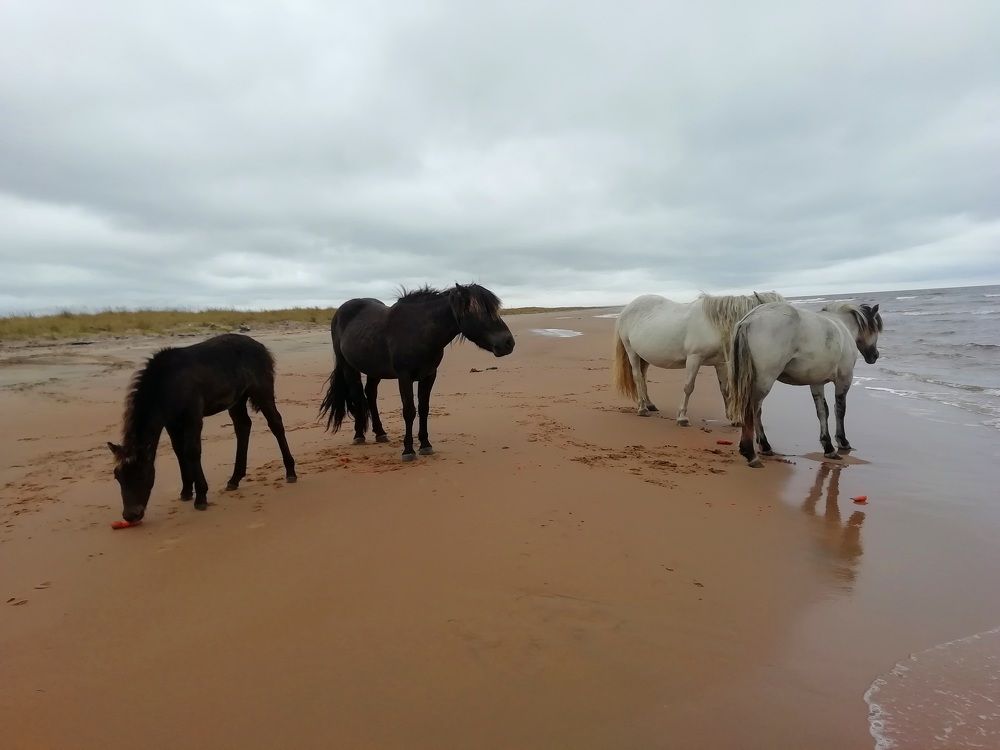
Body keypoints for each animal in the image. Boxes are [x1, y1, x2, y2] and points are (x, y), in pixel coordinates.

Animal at [107, 334, 297, 522]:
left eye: (141, 474)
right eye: (117, 476)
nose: (130, 515)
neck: (168, 383)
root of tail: (261, 347)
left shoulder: (193, 418)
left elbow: (192, 451)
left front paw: (201, 497)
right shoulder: (172, 423)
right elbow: (179, 451)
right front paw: (186, 491)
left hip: (262, 392)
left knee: (275, 424)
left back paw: (290, 472)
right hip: (237, 400)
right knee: (243, 426)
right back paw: (234, 479)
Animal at [319, 283, 515, 461]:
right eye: (478, 312)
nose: (508, 343)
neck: (419, 331)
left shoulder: (429, 375)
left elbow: (423, 409)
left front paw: (425, 445)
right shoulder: (404, 377)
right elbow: (409, 411)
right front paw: (408, 450)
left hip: (374, 369)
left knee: (370, 394)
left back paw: (380, 433)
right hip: (348, 366)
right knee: (357, 396)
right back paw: (359, 434)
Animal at [613, 291, 784, 425]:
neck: (714, 325)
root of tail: (626, 309)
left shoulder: (720, 363)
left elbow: (725, 388)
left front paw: (733, 418)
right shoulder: (694, 359)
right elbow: (688, 387)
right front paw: (682, 417)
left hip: (645, 357)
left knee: (643, 377)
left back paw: (649, 404)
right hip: (632, 352)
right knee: (637, 377)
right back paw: (642, 408)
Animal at [728, 302, 883, 467]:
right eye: (874, 328)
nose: (875, 355)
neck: (842, 326)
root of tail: (749, 320)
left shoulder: (817, 382)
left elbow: (823, 412)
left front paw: (828, 446)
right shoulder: (844, 379)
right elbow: (840, 410)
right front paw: (842, 441)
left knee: (756, 411)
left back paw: (764, 446)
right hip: (764, 381)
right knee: (752, 410)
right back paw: (751, 453)